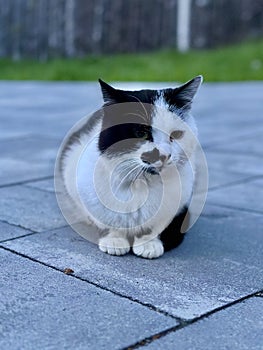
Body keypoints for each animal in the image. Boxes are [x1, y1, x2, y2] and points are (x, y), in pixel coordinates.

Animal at [57, 76, 203, 258]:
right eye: (141, 133)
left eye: (176, 135)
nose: (164, 155)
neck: (141, 184)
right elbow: (104, 220)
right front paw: (115, 239)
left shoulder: (181, 205)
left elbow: (161, 225)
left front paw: (148, 244)